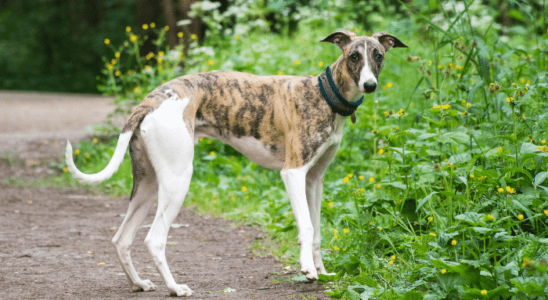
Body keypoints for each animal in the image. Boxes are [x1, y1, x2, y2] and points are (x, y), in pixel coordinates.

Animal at [65, 29, 406, 296]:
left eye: (378, 55)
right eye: (353, 56)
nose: (370, 85)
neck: (324, 95)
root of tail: (151, 100)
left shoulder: (314, 180)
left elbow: (318, 229)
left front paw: (321, 271)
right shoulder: (293, 173)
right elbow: (307, 226)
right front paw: (308, 270)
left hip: (147, 184)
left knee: (122, 239)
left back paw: (139, 284)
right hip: (177, 179)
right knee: (154, 239)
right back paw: (175, 288)